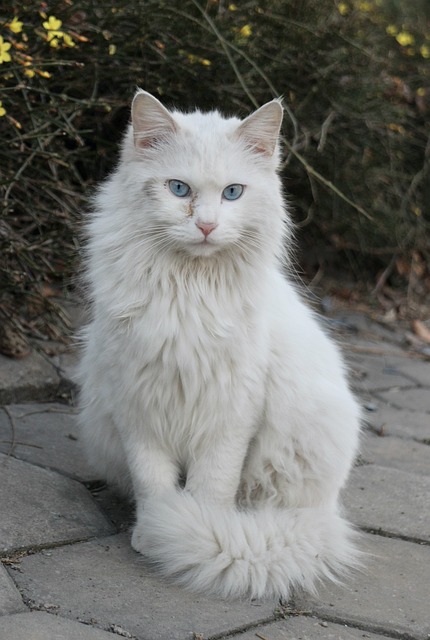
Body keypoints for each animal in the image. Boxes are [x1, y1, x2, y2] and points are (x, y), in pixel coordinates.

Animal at [76, 90, 360, 600]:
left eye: (232, 193)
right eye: (179, 189)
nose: (206, 226)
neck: (187, 289)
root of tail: (325, 510)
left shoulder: (231, 414)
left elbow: (211, 487)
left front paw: (190, 529)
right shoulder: (137, 406)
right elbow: (154, 483)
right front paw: (157, 530)